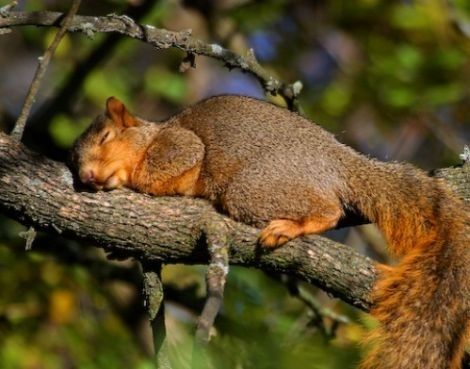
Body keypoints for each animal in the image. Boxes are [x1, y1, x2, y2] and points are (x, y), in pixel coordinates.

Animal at [70, 95, 470, 368]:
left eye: (105, 137)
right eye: (74, 161)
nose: (87, 177)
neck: (152, 136)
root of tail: (341, 164)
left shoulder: (179, 147)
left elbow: (170, 164)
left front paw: (127, 181)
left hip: (251, 188)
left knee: (329, 210)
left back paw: (289, 227)